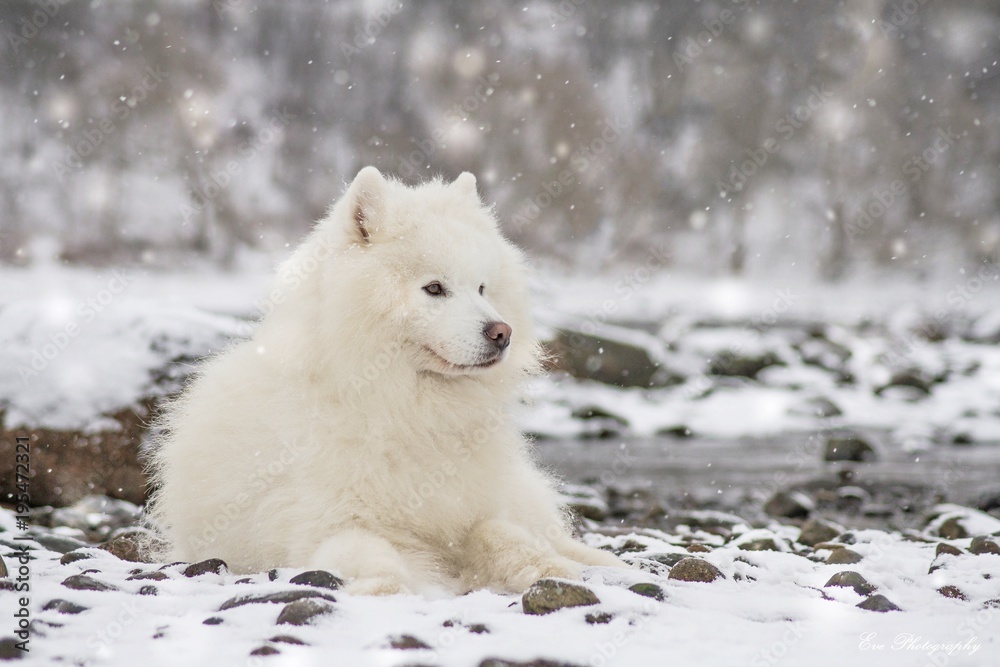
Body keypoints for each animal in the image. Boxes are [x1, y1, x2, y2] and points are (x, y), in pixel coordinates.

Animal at [147, 167, 620, 596]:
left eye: (482, 289)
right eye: (434, 289)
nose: (502, 333)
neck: (400, 406)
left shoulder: (469, 510)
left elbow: (502, 535)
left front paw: (550, 570)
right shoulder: (329, 524)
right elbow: (372, 556)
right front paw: (384, 590)